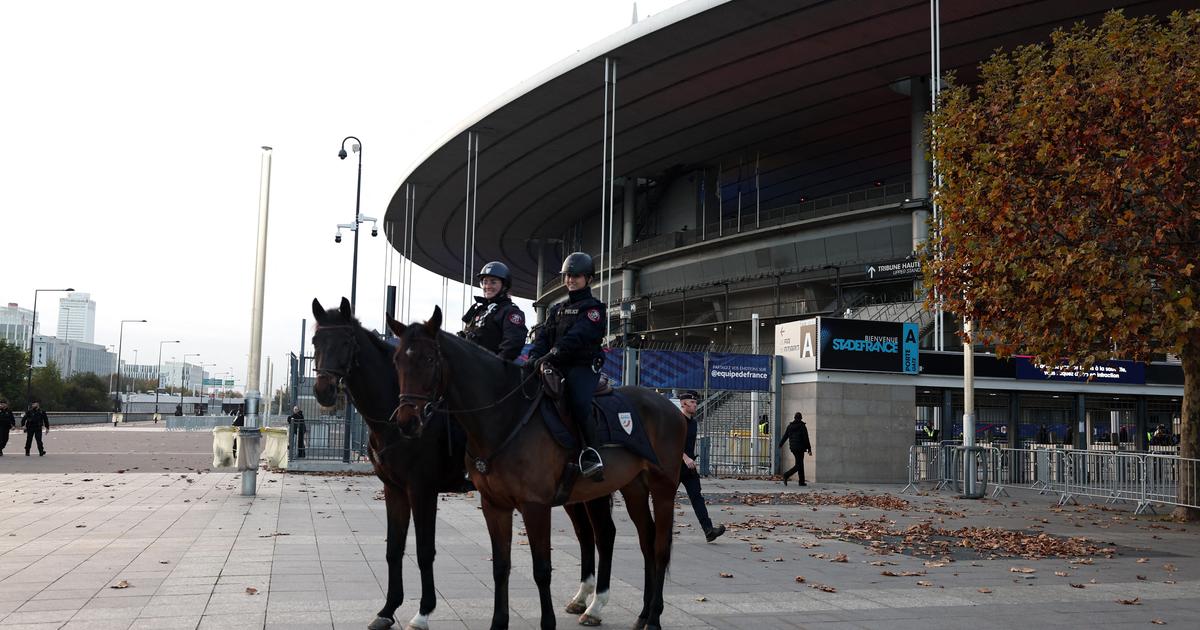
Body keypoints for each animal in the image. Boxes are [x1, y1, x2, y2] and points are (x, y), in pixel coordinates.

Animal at [314, 300, 619, 628]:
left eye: (346, 342)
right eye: (316, 341)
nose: (323, 390)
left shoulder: (422, 489)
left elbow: (424, 551)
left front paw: (423, 612)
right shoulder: (394, 489)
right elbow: (393, 549)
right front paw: (387, 609)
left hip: (592, 491)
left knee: (604, 534)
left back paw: (596, 605)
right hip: (571, 492)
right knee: (586, 534)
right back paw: (582, 598)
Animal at [391, 309, 686, 628]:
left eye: (429, 359)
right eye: (397, 360)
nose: (406, 422)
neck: (505, 416)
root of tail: (671, 407)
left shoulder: (535, 506)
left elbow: (542, 570)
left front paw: (547, 622)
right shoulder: (494, 505)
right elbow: (501, 566)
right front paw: (498, 622)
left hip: (662, 487)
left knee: (658, 546)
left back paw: (651, 616)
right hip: (632, 487)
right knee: (644, 541)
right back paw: (640, 614)